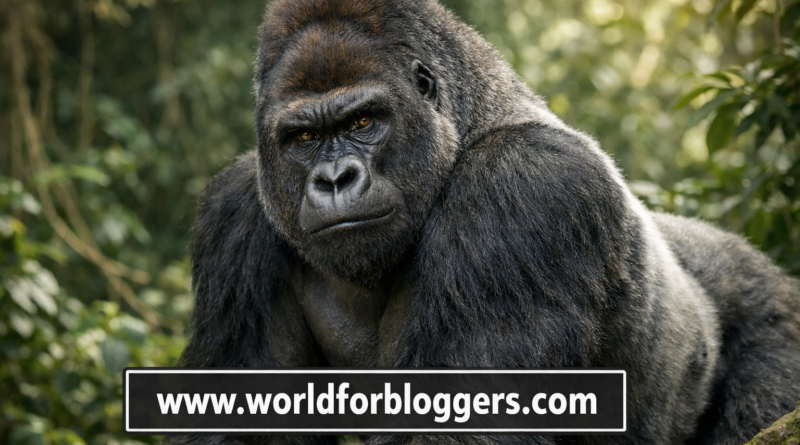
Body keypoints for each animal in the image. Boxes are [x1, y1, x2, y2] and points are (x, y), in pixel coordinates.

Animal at [174, 0, 800, 444]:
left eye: (365, 121)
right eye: (303, 138)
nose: (334, 179)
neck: (470, 120)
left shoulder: (522, 186)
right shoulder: (238, 211)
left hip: (774, 320)